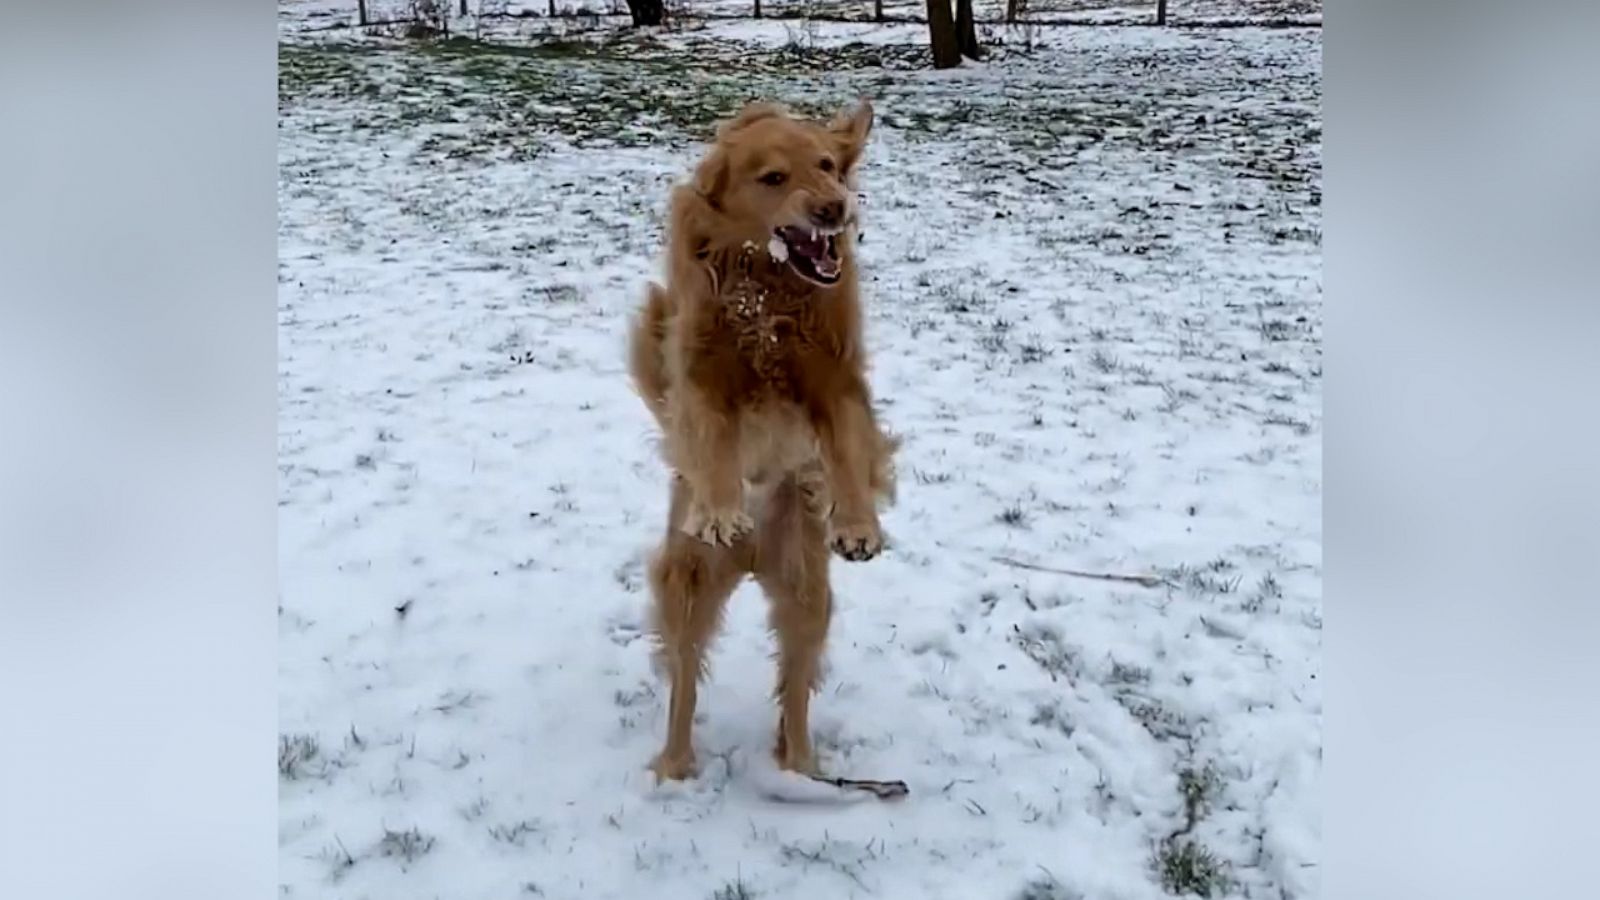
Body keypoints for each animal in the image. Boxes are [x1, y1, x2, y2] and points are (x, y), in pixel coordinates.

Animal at [624, 99, 902, 784]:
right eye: (773, 177)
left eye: (828, 165)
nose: (834, 208)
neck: (769, 288)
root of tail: (753, 560)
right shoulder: (700, 377)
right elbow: (712, 442)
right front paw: (721, 508)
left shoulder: (837, 382)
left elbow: (849, 450)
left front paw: (857, 524)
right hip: (688, 583)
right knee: (684, 682)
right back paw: (674, 768)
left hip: (807, 593)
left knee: (795, 689)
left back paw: (801, 770)